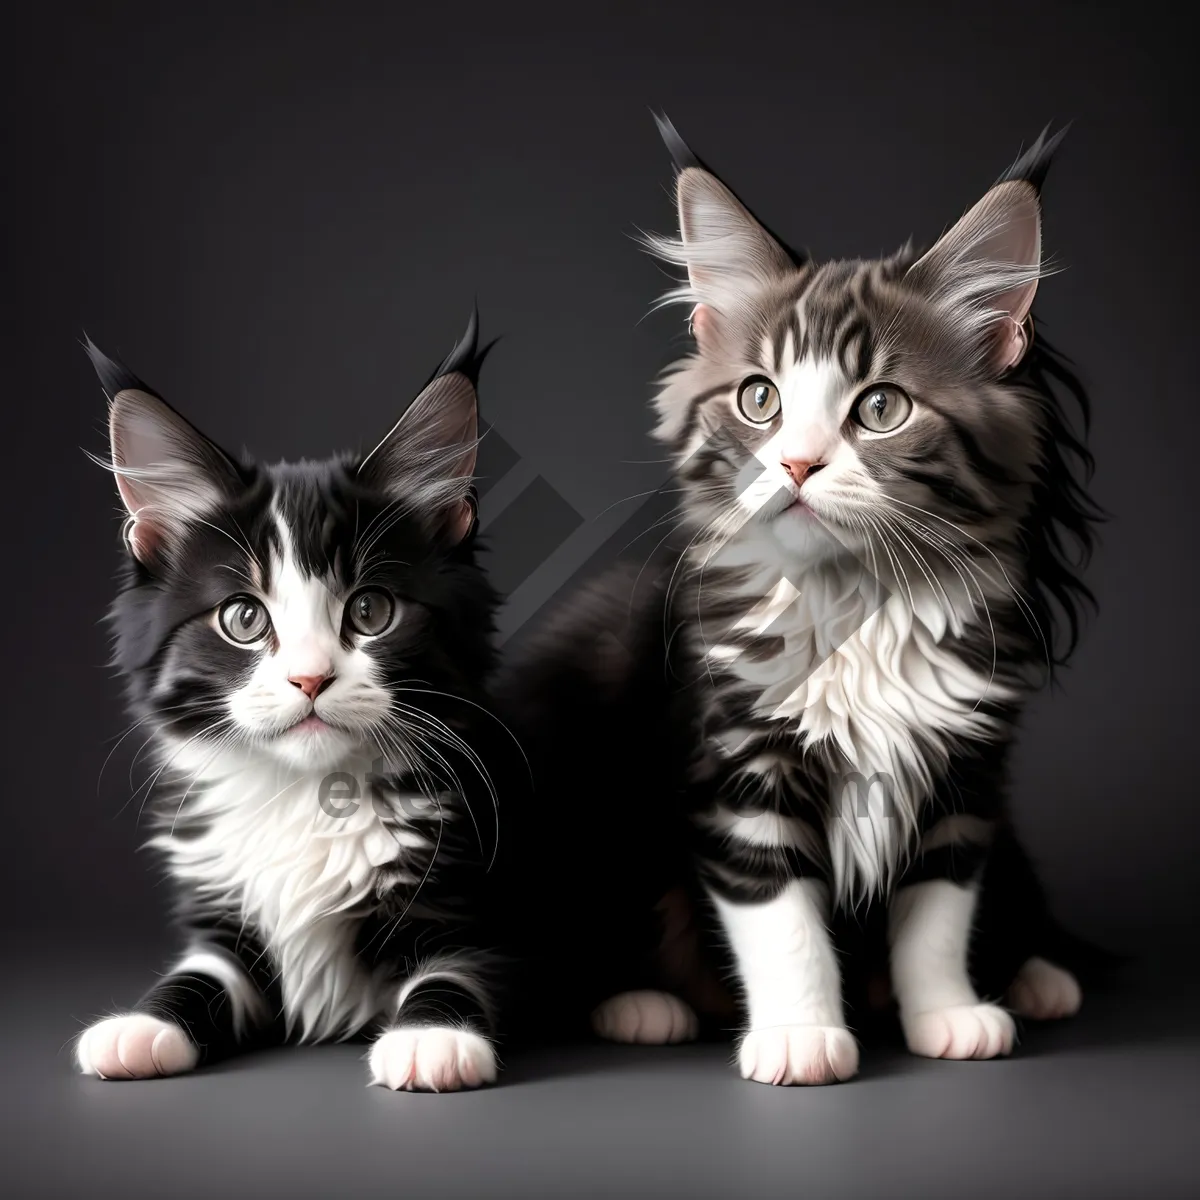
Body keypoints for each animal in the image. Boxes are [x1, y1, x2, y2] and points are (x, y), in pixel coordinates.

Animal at [75, 314, 506, 1094]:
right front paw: (140, 1027)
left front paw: (430, 1039)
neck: (308, 798)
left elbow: (456, 970)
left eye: (371, 611)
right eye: (244, 618)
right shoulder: (224, 916)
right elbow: (197, 974)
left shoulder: (472, 904)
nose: (310, 679)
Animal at [496, 117, 1104, 1084]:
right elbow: (783, 922)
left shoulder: (964, 775)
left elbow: (937, 914)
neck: (858, 605)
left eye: (881, 408)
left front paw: (949, 1013)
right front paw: (801, 1036)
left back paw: (1038, 977)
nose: (795, 464)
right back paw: (640, 1004)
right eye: (760, 399)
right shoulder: (741, 772)